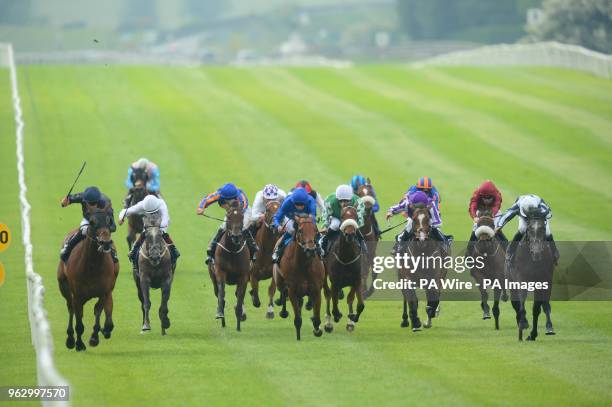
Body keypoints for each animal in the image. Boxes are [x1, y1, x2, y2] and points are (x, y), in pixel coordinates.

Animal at [58, 209, 119, 352]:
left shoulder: (105, 292)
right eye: (92, 222)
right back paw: (70, 339)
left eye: (109, 221)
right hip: (64, 287)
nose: (105, 243)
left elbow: (101, 314)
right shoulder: (78, 296)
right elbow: (79, 323)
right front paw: (79, 344)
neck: (92, 266)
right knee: (70, 308)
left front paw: (95, 337)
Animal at [209, 201, 250, 332]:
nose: (236, 236)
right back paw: (223, 322)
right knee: (218, 293)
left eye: (242, 217)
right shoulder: (220, 272)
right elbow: (221, 293)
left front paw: (239, 324)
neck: (232, 251)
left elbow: (240, 297)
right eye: (229, 217)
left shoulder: (243, 276)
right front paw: (220, 313)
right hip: (212, 277)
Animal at [274, 214, 326, 342]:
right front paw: (298, 336)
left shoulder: (316, 290)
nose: (310, 250)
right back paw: (283, 311)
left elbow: (317, 318)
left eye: (315, 231)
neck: (304, 265)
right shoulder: (293, 290)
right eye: (301, 231)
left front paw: (317, 330)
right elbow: (297, 319)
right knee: (283, 293)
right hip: (279, 281)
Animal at [322, 206, 366, 334]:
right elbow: (334, 304)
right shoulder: (335, 282)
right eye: (342, 216)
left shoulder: (357, 280)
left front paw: (352, 318)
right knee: (328, 294)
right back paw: (328, 323)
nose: (349, 234)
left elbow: (358, 303)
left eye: (355, 216)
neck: (346, 257)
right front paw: (336, 316)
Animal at [510, 210, 556, 342]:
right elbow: (521, 303)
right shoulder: (521, 279)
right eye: (529, 228)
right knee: (516, 303)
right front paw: (523, 323)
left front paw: (534, 333)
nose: (536, 252)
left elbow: (537, 308)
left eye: (543, 228)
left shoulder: (545, 281)